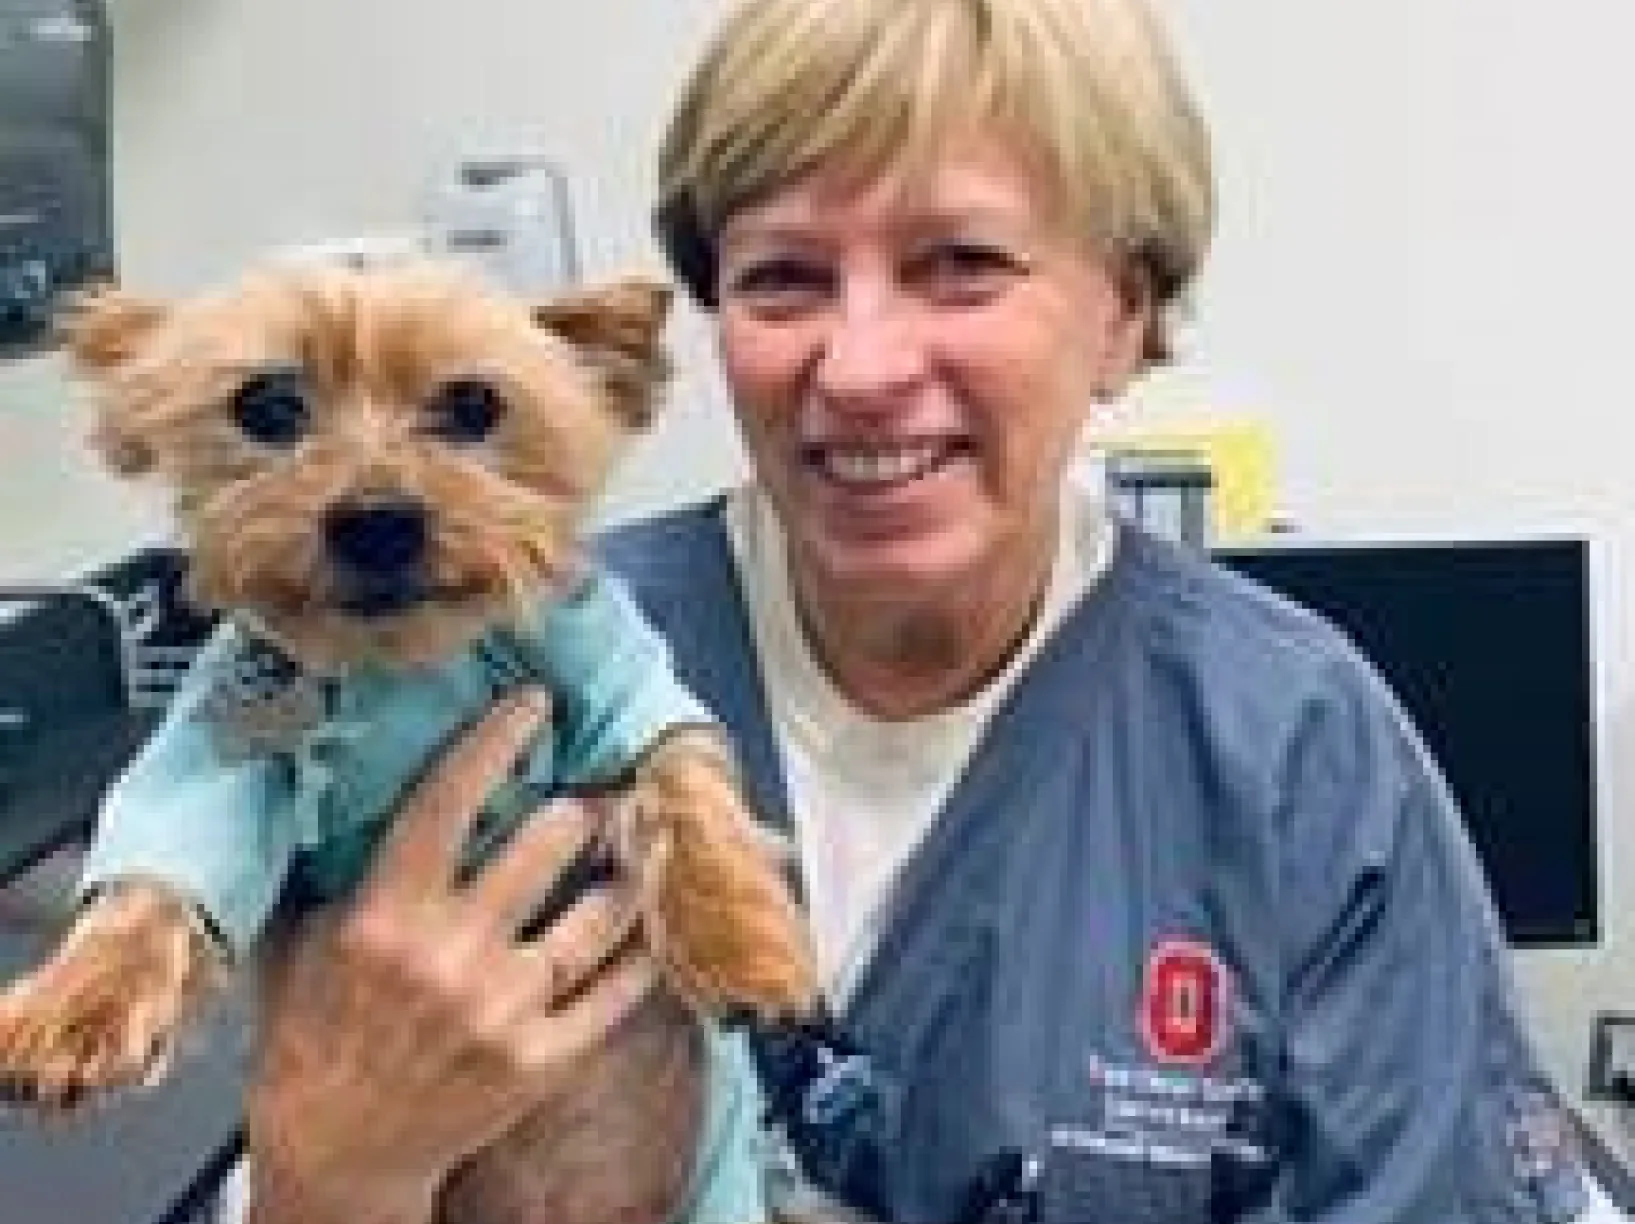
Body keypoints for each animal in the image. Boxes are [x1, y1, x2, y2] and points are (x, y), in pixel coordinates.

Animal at [0, 258, 817, 1222]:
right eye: (265, 405)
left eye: (472, 404)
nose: (376, 520)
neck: (404, 668)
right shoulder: (215, 745)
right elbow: (157, 879)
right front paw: (77, 1004)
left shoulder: (607, 665)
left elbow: (680, 775)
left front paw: (742, 948)